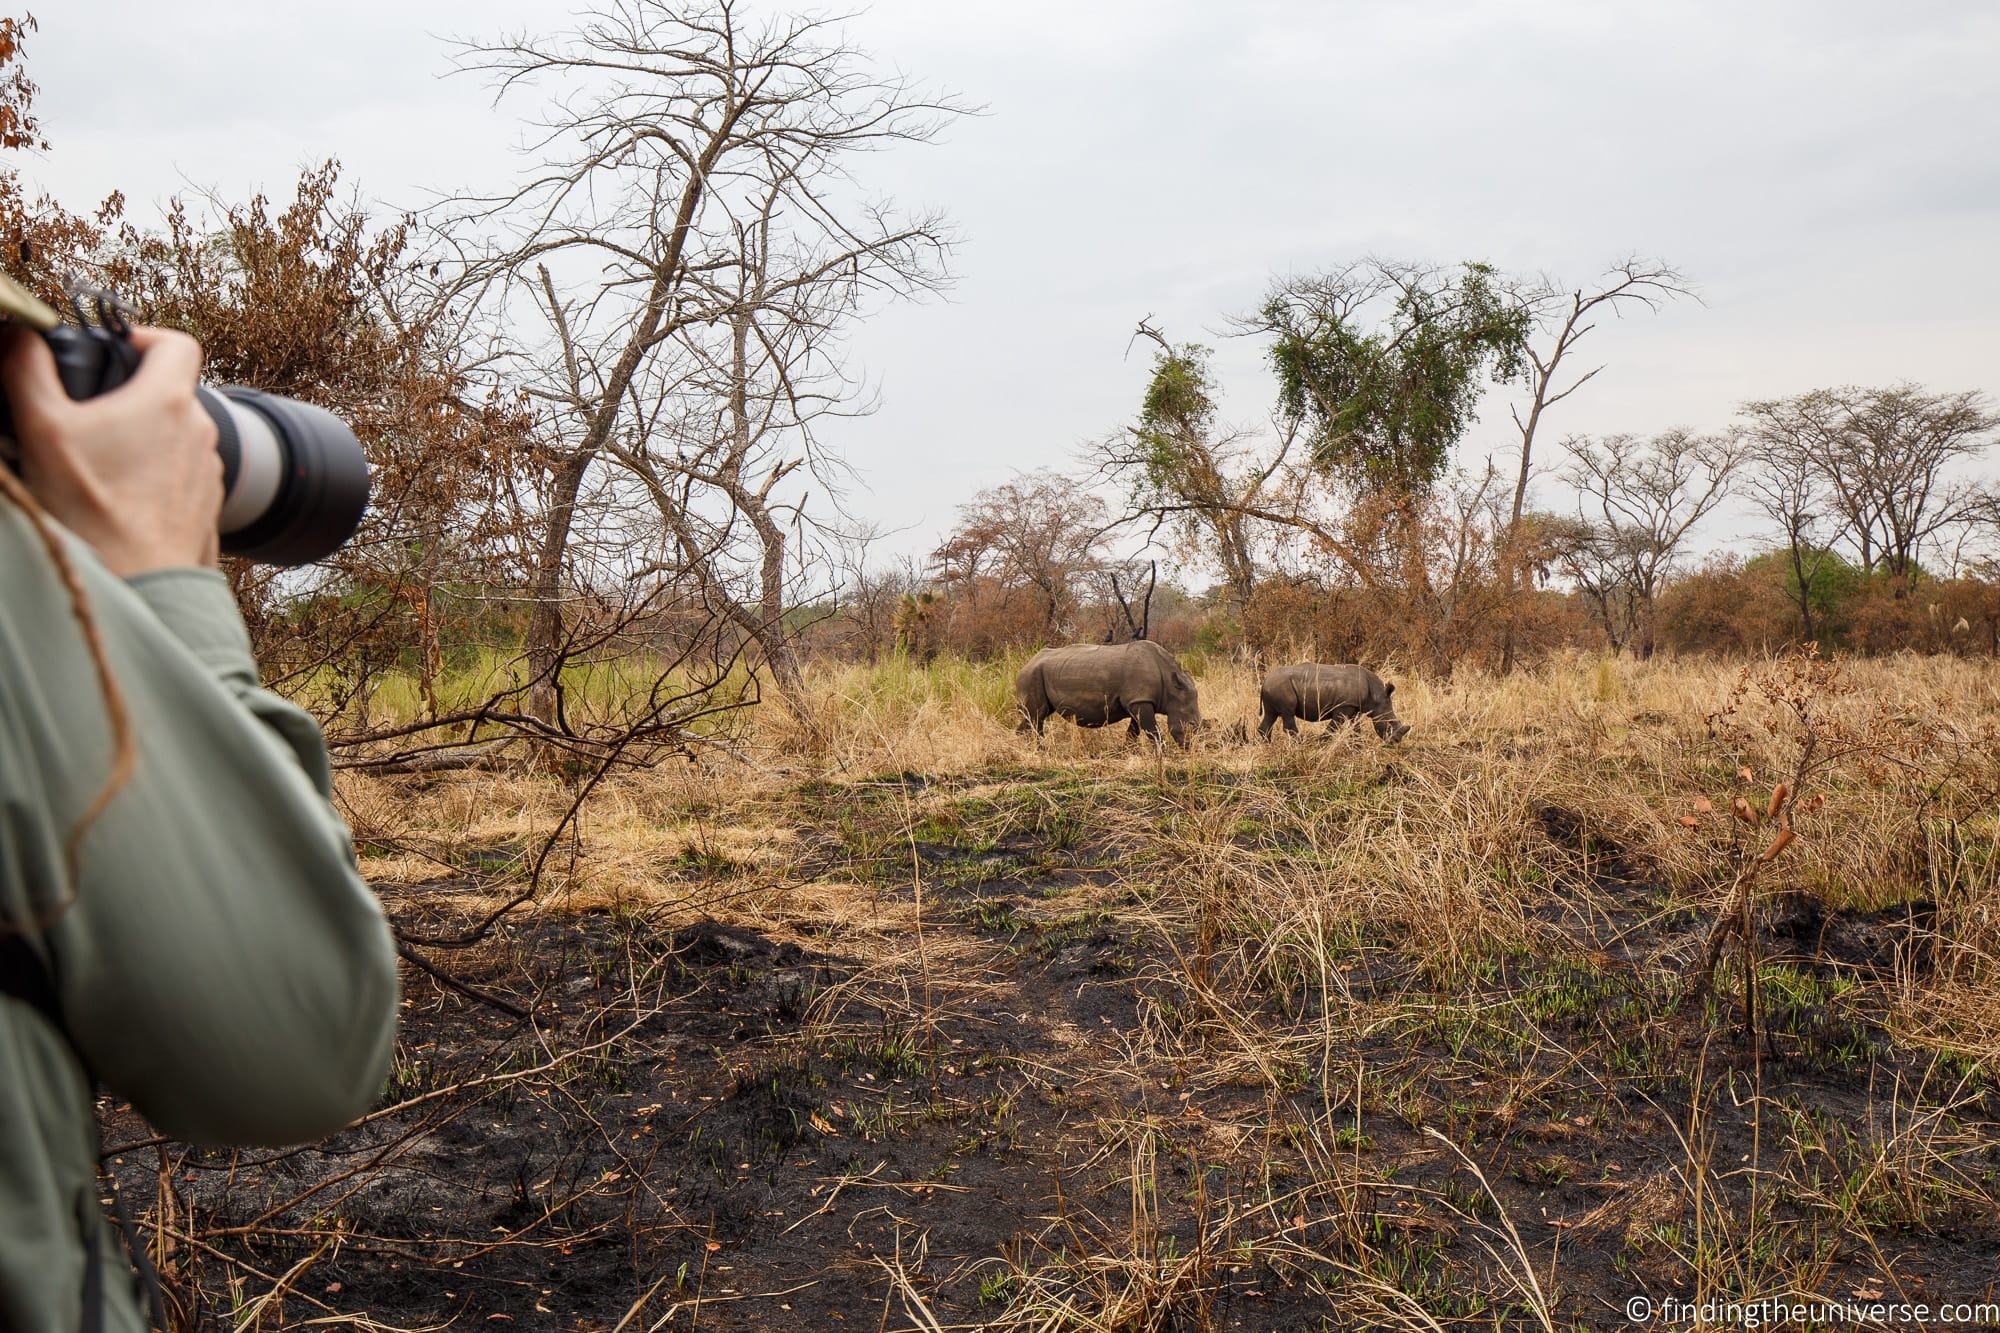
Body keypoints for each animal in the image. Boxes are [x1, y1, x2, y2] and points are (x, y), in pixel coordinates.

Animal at [1016, 636, 1200, 740]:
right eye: (1191, 724)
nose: (1190, 748)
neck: (1171, 686)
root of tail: (1026, 664)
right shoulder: (1140, 700)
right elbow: (1153, 731)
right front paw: (1161, 755)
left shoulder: (1137, 701)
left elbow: (1133, 732)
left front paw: (1127, 752)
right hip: (1031, 675)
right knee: (1036, 716)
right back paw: (1039, 750)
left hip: (1041, 673)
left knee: (1037, 716)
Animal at [1256, 660, 1416, 740]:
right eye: (1389, 723)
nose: (1396, 742)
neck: (1377, 696)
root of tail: (1264, 682)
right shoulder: (1343, 707)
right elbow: (1333, 728)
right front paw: (1321, 742)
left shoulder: (1355, 708)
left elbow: (1356, 728)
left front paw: (1357, 745)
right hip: (1280, 687)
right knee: (1287, 714)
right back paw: (1300, 744)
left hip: (1274, 688)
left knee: (1271, 715)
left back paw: (1269, 745)